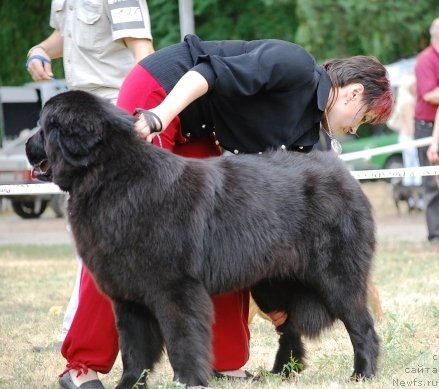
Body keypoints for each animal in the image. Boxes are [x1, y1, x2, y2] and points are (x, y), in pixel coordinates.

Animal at [25, 90, 380, 384]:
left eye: (42, 128)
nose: (28, 146)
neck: (112, 178)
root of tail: (340, 171)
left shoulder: (176, 291)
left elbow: (182, 342)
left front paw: (189, 381)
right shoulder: (128, 297)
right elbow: (134, 352)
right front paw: (129, 384)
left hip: (336, 278)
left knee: (362, 326)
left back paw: (362, 374)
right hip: (273, 283)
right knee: (289, 325)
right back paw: (282, 371)